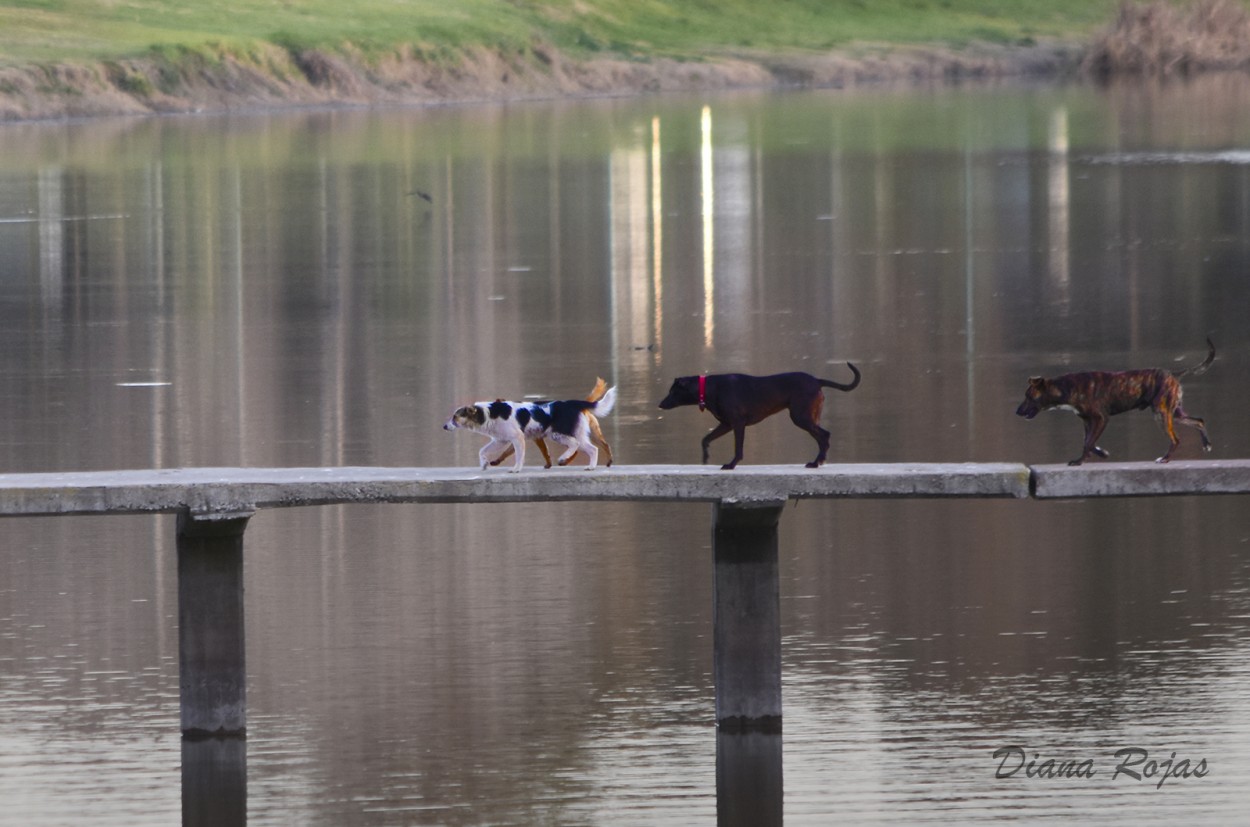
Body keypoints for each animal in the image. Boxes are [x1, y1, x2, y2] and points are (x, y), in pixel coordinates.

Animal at [442, 389, 617, 472]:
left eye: (455, 417)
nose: (444, 426)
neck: (486, 413)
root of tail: (573, 403)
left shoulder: (517, 438)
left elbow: (519, 456)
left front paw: (516, 469)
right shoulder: (500, 440)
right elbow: (482, 451)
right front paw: (484, 464)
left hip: (560, 433)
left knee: (579, 446)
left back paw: (569, 460)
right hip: (572, 433)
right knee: (592, 448)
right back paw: (590, 466)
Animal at [665, 367, 860, 469]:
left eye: (673, 391)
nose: (661, 404)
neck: (710, 388)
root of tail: (817, 380)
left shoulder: (738, 423)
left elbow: (738, 448)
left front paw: (731, 464)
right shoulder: (726, 424)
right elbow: (705, 439)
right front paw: (706, 458)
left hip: (800, 417)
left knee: (825, 435)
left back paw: (816, 462)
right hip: (809, 417)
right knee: (822, 437)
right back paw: (818, 461)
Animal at [1015, 339, 1210, 467]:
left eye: (1029, 396)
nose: (1017, 411)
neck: (1067, 388)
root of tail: (1174, 374)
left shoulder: (1101, 418)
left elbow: (1088, 442)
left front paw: (1081, 460)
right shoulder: (1087, 421)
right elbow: (1088, 441)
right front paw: (1097, 454)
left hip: (1161, 413)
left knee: (1176, 439)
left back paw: (1165, 458)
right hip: (1174, 413)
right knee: (1199, 421)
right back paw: (1206, 444)